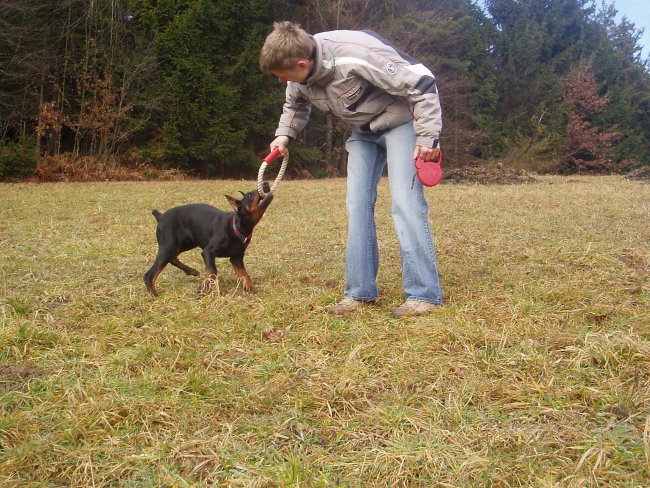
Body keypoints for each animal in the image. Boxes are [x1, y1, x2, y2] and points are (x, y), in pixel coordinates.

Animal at [143, 183, 272, 296]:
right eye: (249, 195)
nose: (266, 183)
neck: (235, 226)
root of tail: (160, 216)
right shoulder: (208, 252)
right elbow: (212, 271)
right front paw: (203, 289)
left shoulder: (237, 258)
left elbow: (244, 275)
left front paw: (253, 290)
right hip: (170, 246)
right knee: (149, 274)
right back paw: (154, 295)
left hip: (184, 244)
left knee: (173, 258)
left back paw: (191, 271)